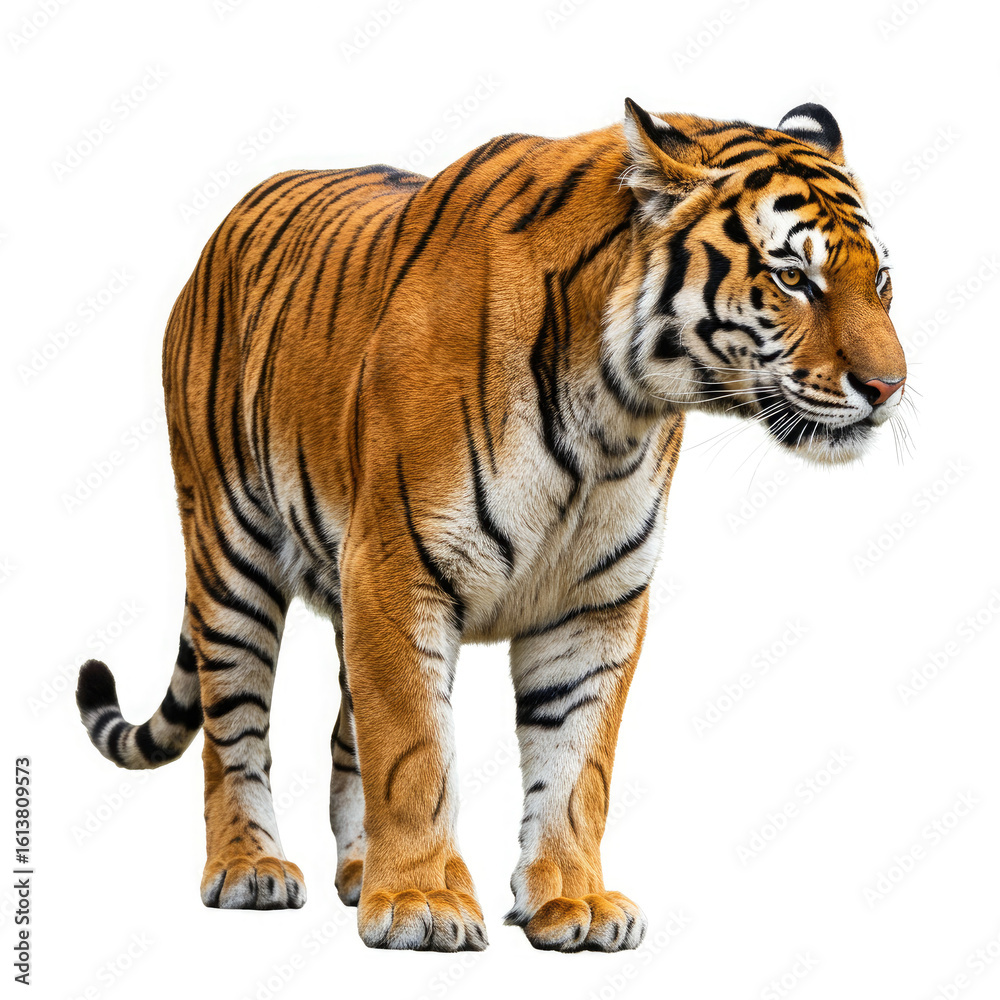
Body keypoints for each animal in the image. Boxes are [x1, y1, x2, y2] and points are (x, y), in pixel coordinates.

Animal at [75, 99, 906, 953]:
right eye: (792, 278)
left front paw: (573, 902)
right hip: (228, 553)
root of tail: (229, 222)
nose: (889, 387)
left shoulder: (595, 603)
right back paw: (250, 868)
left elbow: (576, 765)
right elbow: (412, 750)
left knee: (343, 730)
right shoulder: (398, 569)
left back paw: (358, 871)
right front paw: (420, 903)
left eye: (881, 281)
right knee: (232, 726)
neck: (614, 414)